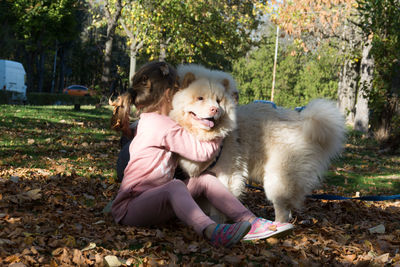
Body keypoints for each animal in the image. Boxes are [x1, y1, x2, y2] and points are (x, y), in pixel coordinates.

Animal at [170, 64, 346, 222]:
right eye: (200, 98)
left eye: (218, 101)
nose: (215, 109)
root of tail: (303, 123)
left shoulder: (228, 174)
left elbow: (220, 202)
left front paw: (219, 220)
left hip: (278, 177)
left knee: (282, 207)